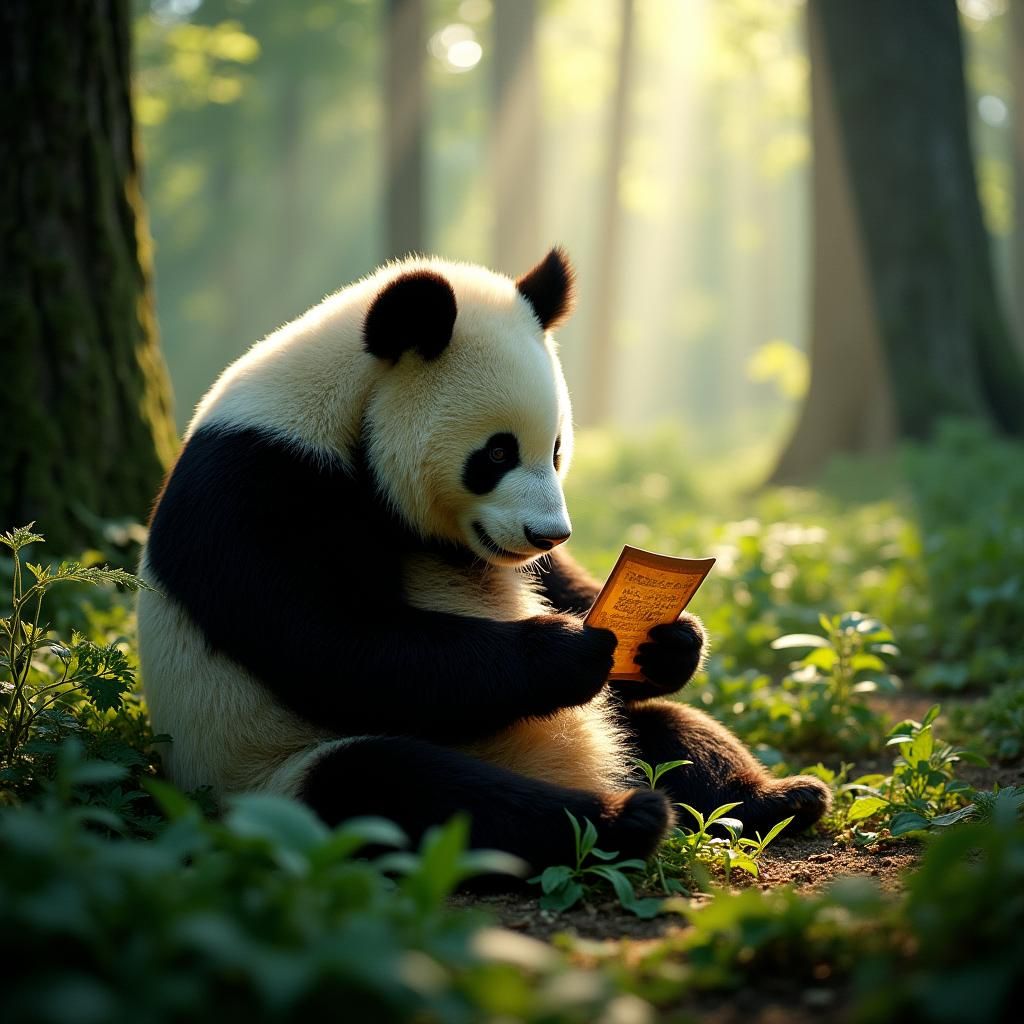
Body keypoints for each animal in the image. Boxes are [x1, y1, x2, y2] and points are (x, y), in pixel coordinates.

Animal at [137, 247, 830, 869]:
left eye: (556, 449)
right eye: (496, 454)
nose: (549, 533)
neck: (343, 406)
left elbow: (561, 588)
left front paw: (670, 640)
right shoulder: (256, 483)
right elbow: (333, 641)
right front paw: (565, 651)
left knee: (668, 730)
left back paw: (780, 799)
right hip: (271, 774)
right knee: (405, 788)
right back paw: (621, 821)